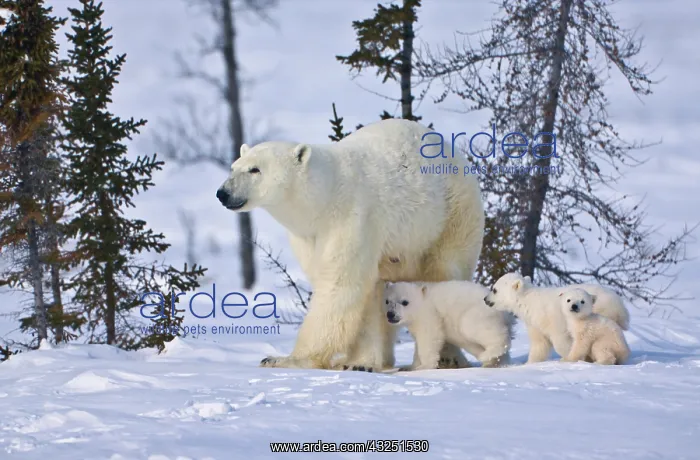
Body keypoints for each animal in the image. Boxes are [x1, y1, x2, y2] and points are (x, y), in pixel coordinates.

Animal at [216, 118, 485, 371]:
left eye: (255, 169)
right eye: (233, 167)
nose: (223, 193)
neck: (324, 197)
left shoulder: (352, 218)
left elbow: (339, 285)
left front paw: (284, 359)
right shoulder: (310, 237)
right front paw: (356, 362)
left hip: (450, 217)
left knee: (443, 272)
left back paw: (448, 357)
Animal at [383, 280, 514, 370]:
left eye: (405, 302)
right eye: (387, 301)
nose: (390, 314)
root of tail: (506, 315)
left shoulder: (430, 314)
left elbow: (429, 337)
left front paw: (424, 366)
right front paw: (408, 367)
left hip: (477, 314)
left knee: (474, 328)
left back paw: (486, 355)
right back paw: (492, 362)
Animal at [483, 272, 630, 364]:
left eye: (494, 289)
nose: (485, 299)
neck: (530, 301)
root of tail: (620, 304)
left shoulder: (552, 319)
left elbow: (561, 341)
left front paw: (569, 357)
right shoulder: (535, 323)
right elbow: (539, 344)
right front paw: (529, 363)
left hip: (602, 312)